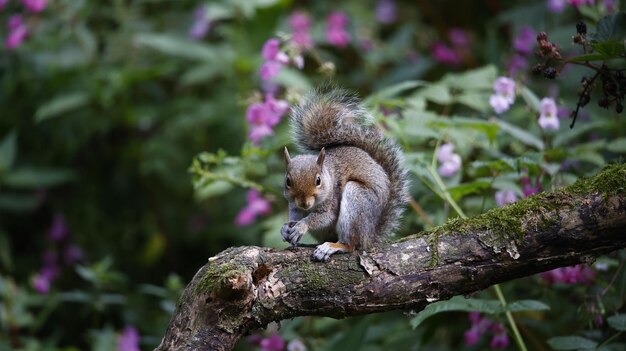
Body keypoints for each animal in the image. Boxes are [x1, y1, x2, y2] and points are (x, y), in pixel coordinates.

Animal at [280, 87, 408, 262]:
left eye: (318, 180)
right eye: (288, 181)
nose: (304, 203)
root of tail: (369, 237)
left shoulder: (332, 199)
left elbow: (324, 217)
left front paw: (301, 226)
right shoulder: (294, 204)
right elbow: (294, 215)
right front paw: (286, 227)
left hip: (356, 200)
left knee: (352, 245)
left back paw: (333, 247)